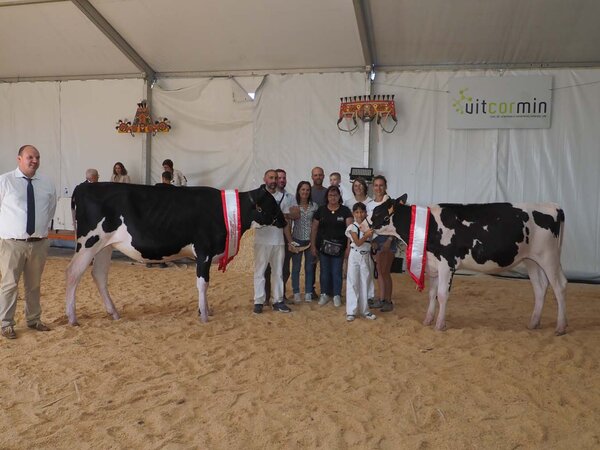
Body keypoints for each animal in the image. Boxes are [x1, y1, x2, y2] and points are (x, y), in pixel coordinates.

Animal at [66, 182, 286, 325]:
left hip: (105, 246)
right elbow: (203, 284)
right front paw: (204, 315)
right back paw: (72, 318)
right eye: (273, 204)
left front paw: (205, 310)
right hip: (88, 243)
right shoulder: (204, 251)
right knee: (73, 274)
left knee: (99, 275)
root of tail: (83, 186)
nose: (284, 221)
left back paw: (114, 313)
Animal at [370, 199, 568, 335]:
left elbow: (442, 295)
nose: (367, 224)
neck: (430, 226)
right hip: (532, 260)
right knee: (540, 288)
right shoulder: (433, 267)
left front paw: (440, 325)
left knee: (559, 287)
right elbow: (432, 294)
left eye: (378, 213)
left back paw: (560, 327)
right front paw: (427, 320)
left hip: (549, 257)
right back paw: (534, 323)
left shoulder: (447, 264)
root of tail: (554, 207)